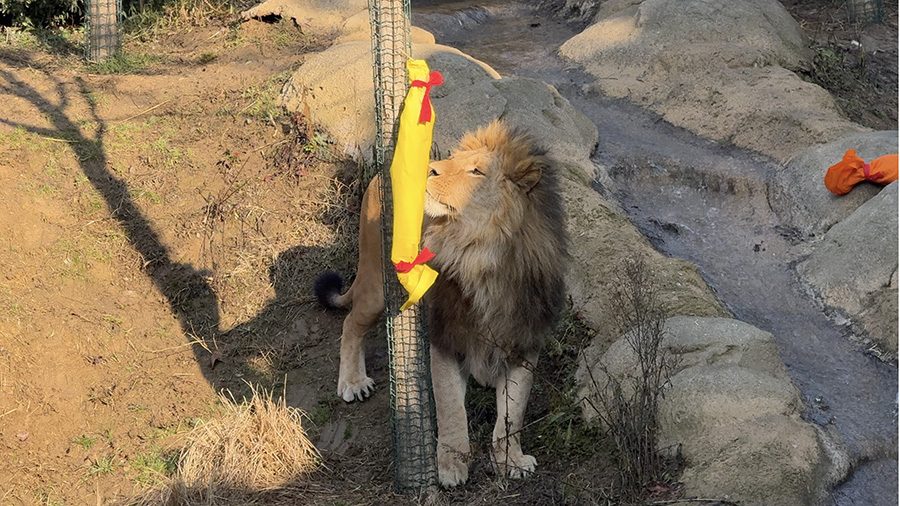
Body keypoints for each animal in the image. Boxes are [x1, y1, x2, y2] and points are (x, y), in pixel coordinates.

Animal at [314, 120, 569, 487]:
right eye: (453, 158)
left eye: (476, 170)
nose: (431, 169)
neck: (483, 257)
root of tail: (379, 174)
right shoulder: (445, 338)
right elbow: (451, 410)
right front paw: (450, 466)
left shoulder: (524, 342)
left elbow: (513, 412)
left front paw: (511, 460)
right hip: (377, 284)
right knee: (351, 323)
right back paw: (353, 382)